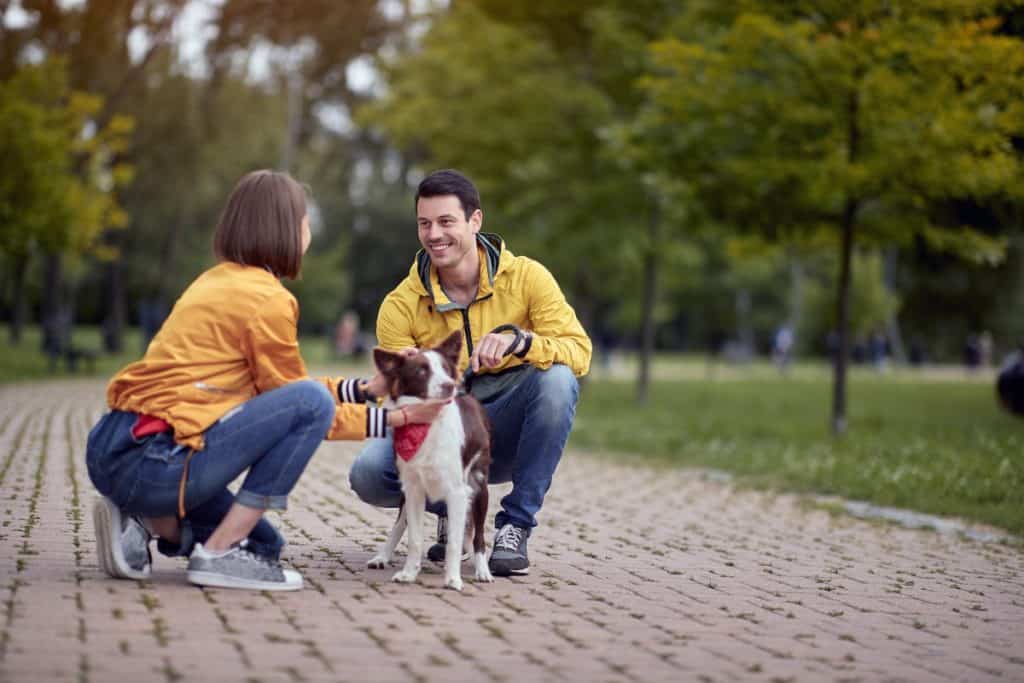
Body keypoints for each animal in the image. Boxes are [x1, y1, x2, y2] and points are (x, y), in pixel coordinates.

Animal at [368, 329, 495, 589]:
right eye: (421, 371)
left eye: (446, 369)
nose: (449, 385)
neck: (427, 424)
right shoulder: (414, 488)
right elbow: (414, 538)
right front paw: (408, 573)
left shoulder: (458, 491)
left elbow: (455, 542)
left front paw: (453, 579)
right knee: (400, 524)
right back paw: (382, 556)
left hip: (479, 487)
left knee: (478, 535)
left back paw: (482, 570)